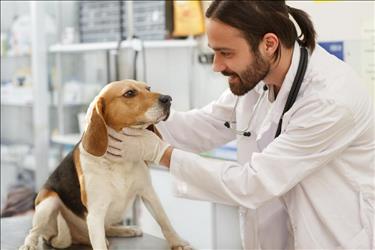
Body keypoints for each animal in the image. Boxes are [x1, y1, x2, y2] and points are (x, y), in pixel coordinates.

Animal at [20, 80, 191, 250]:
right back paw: (29, 244)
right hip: (48, 202)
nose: (168, 99)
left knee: (107, 229)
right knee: (33, 231)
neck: (121, 163)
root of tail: (75, 237)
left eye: (148, 88)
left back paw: (125, 230)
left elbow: (164, 221)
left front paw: (177, 242)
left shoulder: (149, 193)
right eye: (129, 93)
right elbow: (100, 243)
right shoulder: (96, 212)